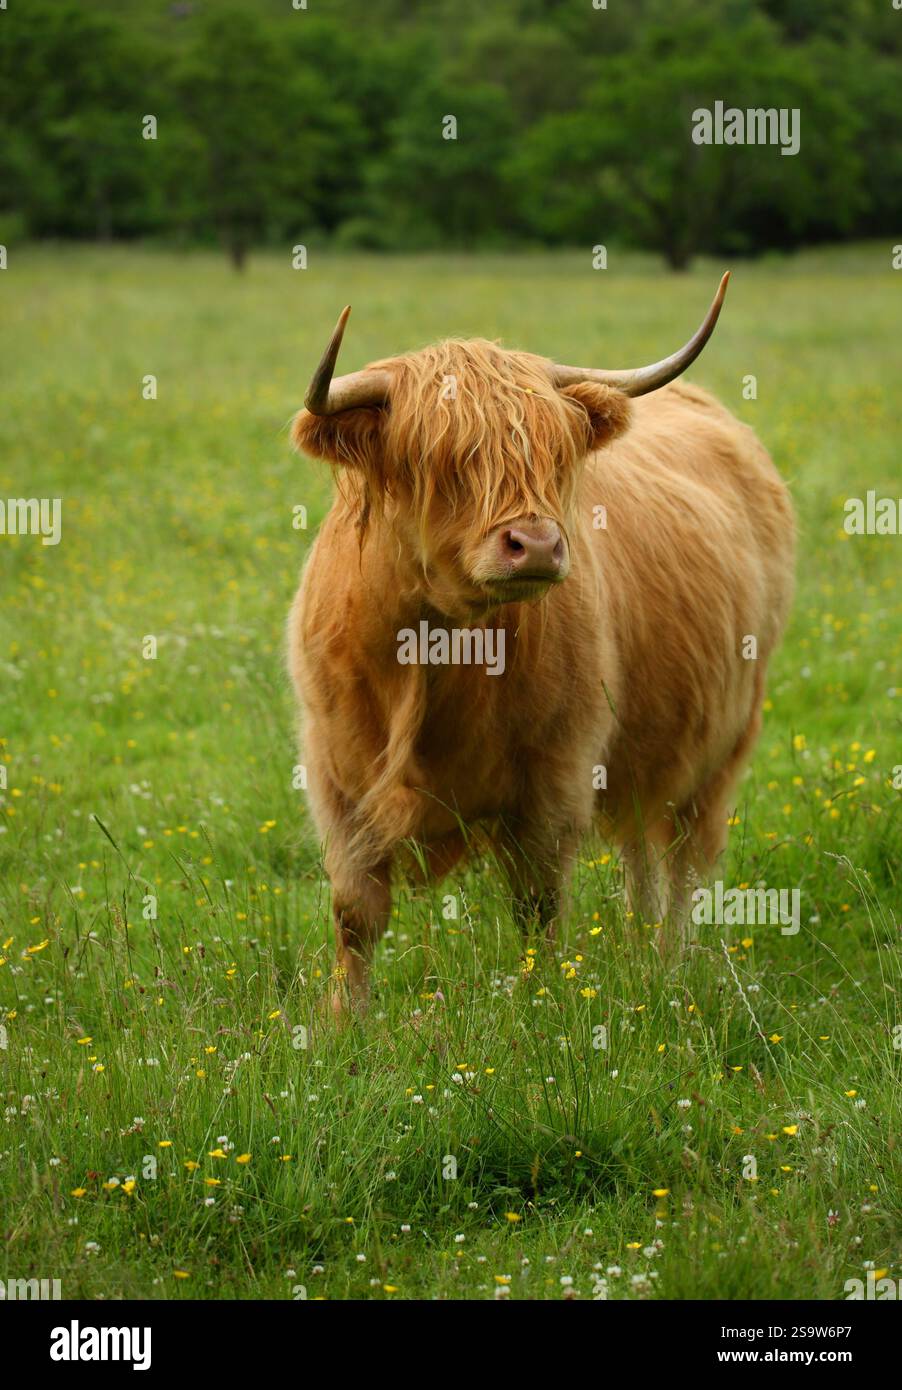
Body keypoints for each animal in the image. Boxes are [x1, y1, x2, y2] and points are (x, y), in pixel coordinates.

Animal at [288, 277, 795, 1014]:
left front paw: (541, 1005)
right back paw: (639, 952)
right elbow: (355, 914)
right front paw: (345, 1022)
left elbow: (539, 906)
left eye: (552, 458)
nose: (536, 544)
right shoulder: (336, 778)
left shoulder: (555, 776)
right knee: (641, 848)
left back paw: (669, 965)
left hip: (721, 741)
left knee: (684, 855)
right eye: (440, 460)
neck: (431, 658)